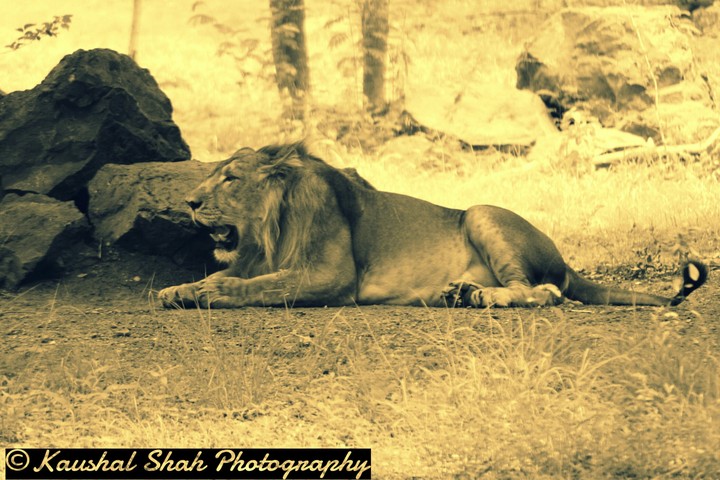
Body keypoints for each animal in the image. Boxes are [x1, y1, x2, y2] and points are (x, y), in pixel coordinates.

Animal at [158, 143, 707, 309]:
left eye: (230, 179)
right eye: (212, 174)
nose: (189, 202)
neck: (269, 231)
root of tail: (569, 261)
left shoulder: (332, 277)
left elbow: (266, 286)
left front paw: (209, 294)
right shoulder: (252, 260)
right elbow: (227, 273)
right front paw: (179, 289)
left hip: (482, 211)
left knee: (544, 292)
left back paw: (482, 298)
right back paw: (460, 293)